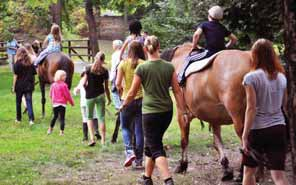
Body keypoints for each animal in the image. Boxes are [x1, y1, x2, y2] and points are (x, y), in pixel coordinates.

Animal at [162, 42, 252, 180]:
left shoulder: (182, 114)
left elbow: (184, 141)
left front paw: (182, 165)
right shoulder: (215, 117)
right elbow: (217, 142)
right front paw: (226, 168)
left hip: (240, 119)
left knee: (245, 142)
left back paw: (243, 172)